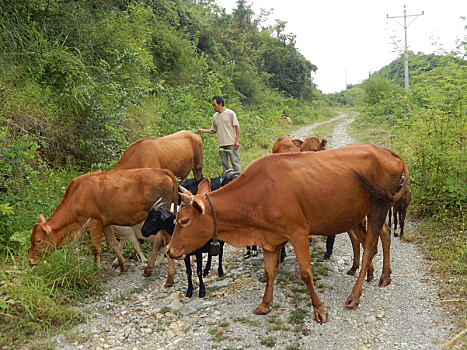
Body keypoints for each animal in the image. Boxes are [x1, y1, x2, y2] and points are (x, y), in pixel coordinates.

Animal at [27, 168, 177, 286]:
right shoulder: (105, 223)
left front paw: (96, 270)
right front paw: (123, 266)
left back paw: (161, 274)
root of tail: (162, 171)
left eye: (38, 240)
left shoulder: (94, 222)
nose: (30, 261)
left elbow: (96, 248)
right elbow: (113, 243)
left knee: (162, 241)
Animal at [166, 144, 408, 322]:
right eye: (176, 220)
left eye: (184, 221)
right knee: (383, 235)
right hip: (364, 211)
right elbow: (270, 271)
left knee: (370, 247)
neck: (256, 195)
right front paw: (265, 304)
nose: (169, 250)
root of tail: (385, 150)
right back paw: (384, 276)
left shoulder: (299, 233)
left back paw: (354, 296)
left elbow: (306, 273)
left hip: (379, 206)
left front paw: (319, 309)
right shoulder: (270, 239)